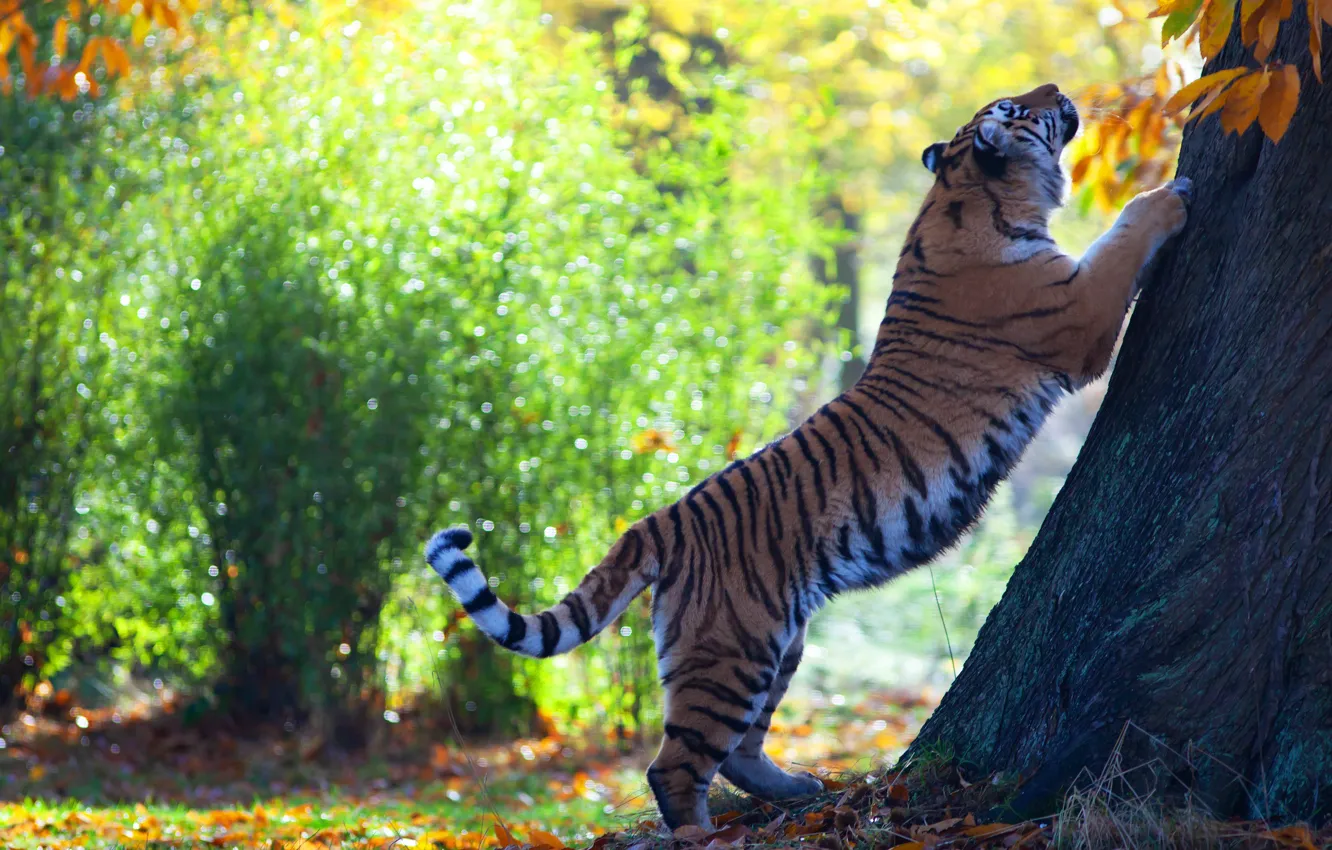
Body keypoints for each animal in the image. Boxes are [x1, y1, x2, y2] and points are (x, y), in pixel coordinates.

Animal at [423, 83, 1190, 830]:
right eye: (1016, 108)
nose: (1058, 90)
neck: (962, 189)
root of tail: (659, 521)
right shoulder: (1079, 311)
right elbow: (1123, 233)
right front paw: (1173, 191)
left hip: (772, 642)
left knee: (738, 751)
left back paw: (798, 789)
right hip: (730, 651)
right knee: (674, 768)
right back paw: (708, 835)